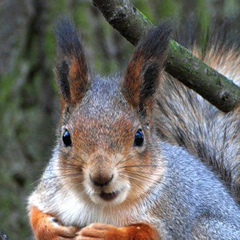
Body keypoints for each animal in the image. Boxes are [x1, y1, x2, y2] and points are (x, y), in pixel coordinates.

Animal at [28, 19, 240, 240]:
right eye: (66, 137)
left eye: (139, 137)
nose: (101, 176)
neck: (100, 205)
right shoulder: (50, 189)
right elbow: (34, 210)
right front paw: (52, 230)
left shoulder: (170, 215)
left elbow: (143, 232)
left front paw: (106, 234)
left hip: (209, 229)